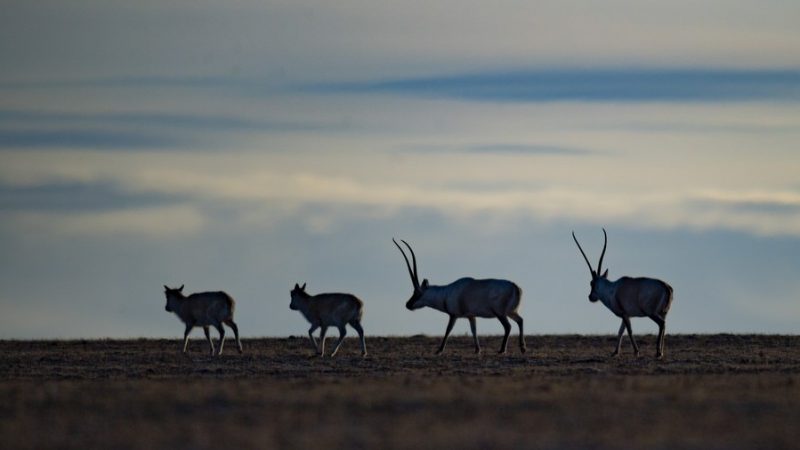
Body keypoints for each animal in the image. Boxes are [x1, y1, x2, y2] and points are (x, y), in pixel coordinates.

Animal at [392, 239, 524, 356]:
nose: (408, 304)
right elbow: (474, 331)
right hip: (511, 312)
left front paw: (439, 351)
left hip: (500, 313)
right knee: (520, 320)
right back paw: (522, 348)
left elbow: (448, 330)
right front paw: (477, 350)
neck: (446, 293)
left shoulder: (453, 315)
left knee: (508, 326)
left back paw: (502, 350)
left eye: (417, 293)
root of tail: (515, 286)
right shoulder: (471, 316)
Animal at [568, 229, 676, 358]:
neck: (612, 289)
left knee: (662, 324)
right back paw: (662, 351)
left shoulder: (624, 314)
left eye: (591, 283)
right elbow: (620, 331)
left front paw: (636, 351)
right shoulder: (627, 315)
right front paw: (615, 352)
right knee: (664, 325)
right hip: (663, 313)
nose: (590, 297)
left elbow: (629, 331)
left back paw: (658, 352)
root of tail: (666, 287)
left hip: (651, 313)